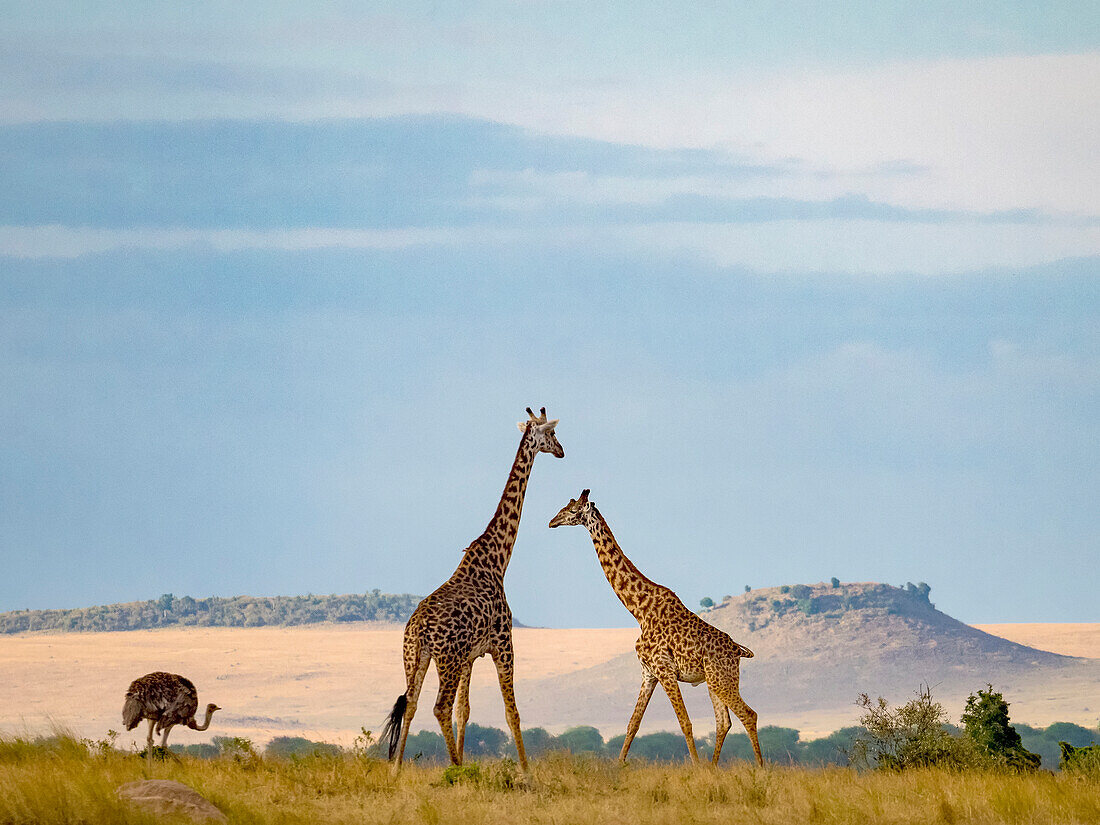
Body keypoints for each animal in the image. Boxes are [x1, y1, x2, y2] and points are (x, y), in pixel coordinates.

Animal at [380, 409, 567, 774]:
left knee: (412, 703)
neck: (497, 560)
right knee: (438, 706)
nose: (562, 451)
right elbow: (512, 712)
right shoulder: (503, 643)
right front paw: (526, 772)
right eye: (552, 434)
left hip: (416, 657)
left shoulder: (470, 656)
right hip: (447, 658)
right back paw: (453, 768)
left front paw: (468, 760)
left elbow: (464, 712)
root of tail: (418, 628)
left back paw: (396, 770)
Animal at [545, 490, 761, 770]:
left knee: (748, 714)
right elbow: (633, 724)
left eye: (571, 510)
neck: (639, 610)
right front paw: (618, 766)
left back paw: (760, 768)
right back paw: (714, 767)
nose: (552, 522)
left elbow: (685, 722)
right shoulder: (648, 672)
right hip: (713, 680)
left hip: (722, 677)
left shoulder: (664, 669)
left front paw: (696, 768)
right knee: (723, 722)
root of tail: (738, 650)